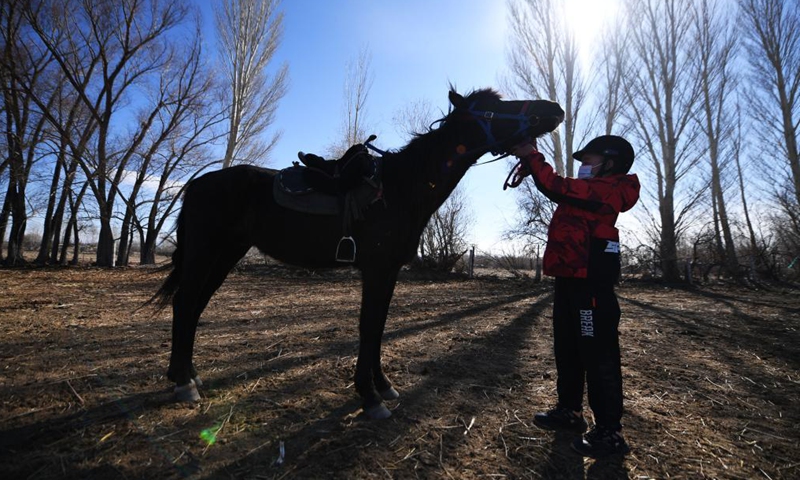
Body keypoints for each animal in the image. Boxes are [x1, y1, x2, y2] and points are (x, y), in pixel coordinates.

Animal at [150, 88, 564, 419]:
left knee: (193, 305)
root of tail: (196, 185)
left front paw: (382, 386)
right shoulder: (377, 269)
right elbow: (369, 326)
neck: (401, 188)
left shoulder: (389, 271)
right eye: (493, 109)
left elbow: (378, 327)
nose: (554, 109)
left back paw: (187, 375)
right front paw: (369, 397)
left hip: (225, 255)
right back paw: (184, 384)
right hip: (204, 253)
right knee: (185, 304)